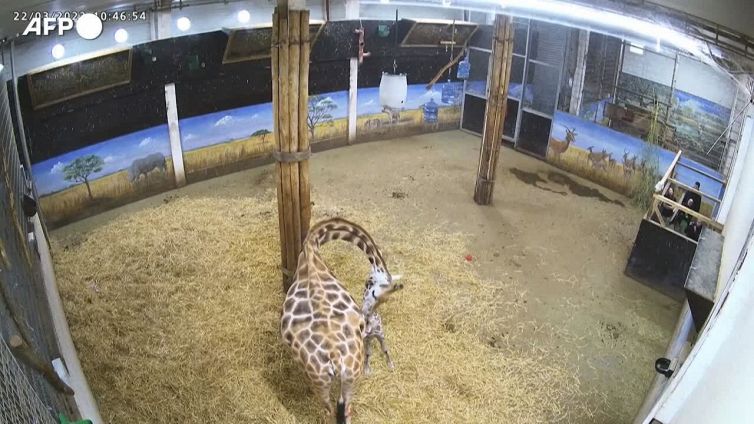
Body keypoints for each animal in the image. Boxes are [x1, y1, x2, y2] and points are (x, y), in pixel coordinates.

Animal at [280, 217, 403, 424]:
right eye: (372, 281)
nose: (394, 285)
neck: (311, 250)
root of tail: (334, 355)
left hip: (325, 381)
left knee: (333, 411)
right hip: (346, 378)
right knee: (341, 411)